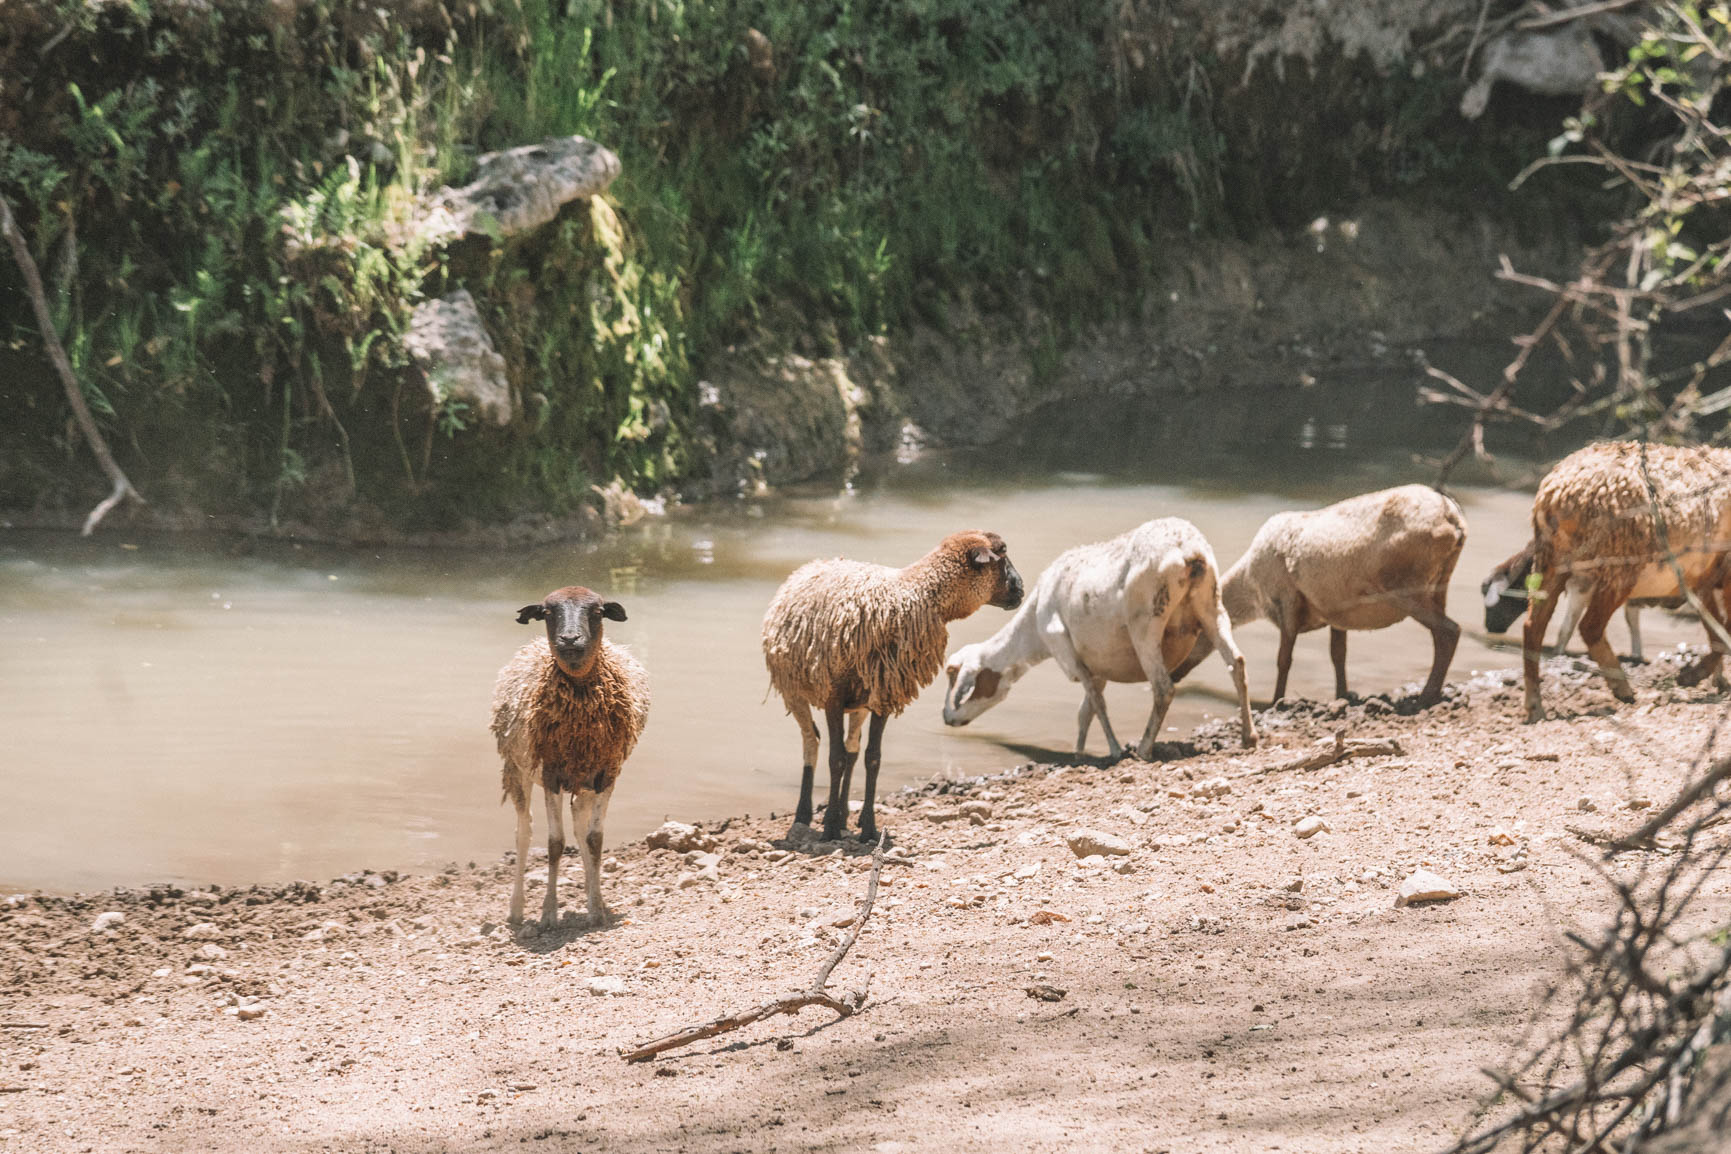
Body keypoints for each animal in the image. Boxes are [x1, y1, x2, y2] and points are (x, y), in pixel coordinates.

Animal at [495, 588, 650, 927]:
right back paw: (516, 910)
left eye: (597, 612)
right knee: (524, 832)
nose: (569, 639)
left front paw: (596, 910)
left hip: (583, 781)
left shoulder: (606, 772)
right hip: (517, 769)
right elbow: (554, 843)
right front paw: (548, 913)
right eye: (547, 612)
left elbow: (594, 838)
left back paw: (595, 899)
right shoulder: (551, 772)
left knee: (580, 825)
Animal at [765, 529, 1017, 840]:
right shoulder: (834, 694)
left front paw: (868, 828)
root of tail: (812, 564)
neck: (913, 596)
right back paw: (805, 815)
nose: (1020, 590)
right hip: (795, 691)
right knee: (812, 742)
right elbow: (834, 759)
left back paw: (844, 815)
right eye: (1001, 555)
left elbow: (872, 758)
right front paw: (830, 829)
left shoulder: (883, 694)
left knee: (852, 749)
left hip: (859, 703)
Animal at [948, 519, 1260, 761]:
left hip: (1146, 624)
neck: (1033, 633)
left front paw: (1114, 750)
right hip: (1212, 607)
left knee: (1163, 688)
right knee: (1237, 664)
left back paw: (1144, 749)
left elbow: (1097, 705)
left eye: (956, 677)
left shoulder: (1071, 656)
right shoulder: (1097, 666)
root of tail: (1190, 553)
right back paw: (1249, 737)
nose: (947, 718)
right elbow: (1085, 711)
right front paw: (1079, 754)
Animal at [1211, 484, 1467, 705]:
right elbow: (1338, 654)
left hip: (1404, 585)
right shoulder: (1336, 610)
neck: (1251, 584)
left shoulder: (1287, 599)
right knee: (1442, 633)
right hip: (1441, 582)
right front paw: (1342, 695)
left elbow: (1284, 659)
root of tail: (1454, 520)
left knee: (1449, 630)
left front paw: (1277, 701)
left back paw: (1426, 696)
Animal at [1516, 442, 1731, 723]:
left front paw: (1712, 680)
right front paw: (1690, 677)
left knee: (1534, 626)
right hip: (1619, 562)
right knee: (1590, 626)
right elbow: (1724, 632)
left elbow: (1717, 630)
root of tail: (1555, 495)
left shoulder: (1705, 578)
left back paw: (1535, 707)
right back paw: (1622, 689)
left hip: (1552, 560)